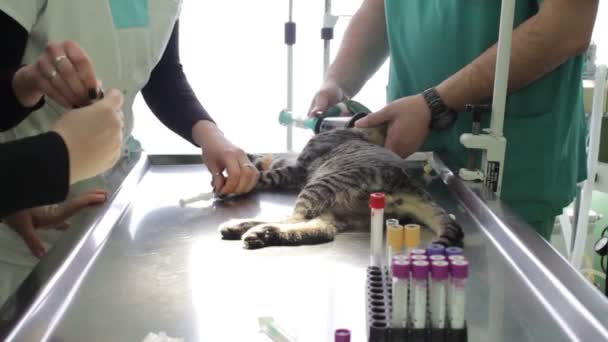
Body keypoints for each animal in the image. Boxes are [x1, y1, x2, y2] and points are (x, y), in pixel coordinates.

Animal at [217, 123, 460, 248]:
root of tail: (409, 185)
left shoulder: (297, 169)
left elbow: (266, 174)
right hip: (341, 210)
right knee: (320, 230)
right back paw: (260, 233)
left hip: (320, 185)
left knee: (295, 218)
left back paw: (248, 227)